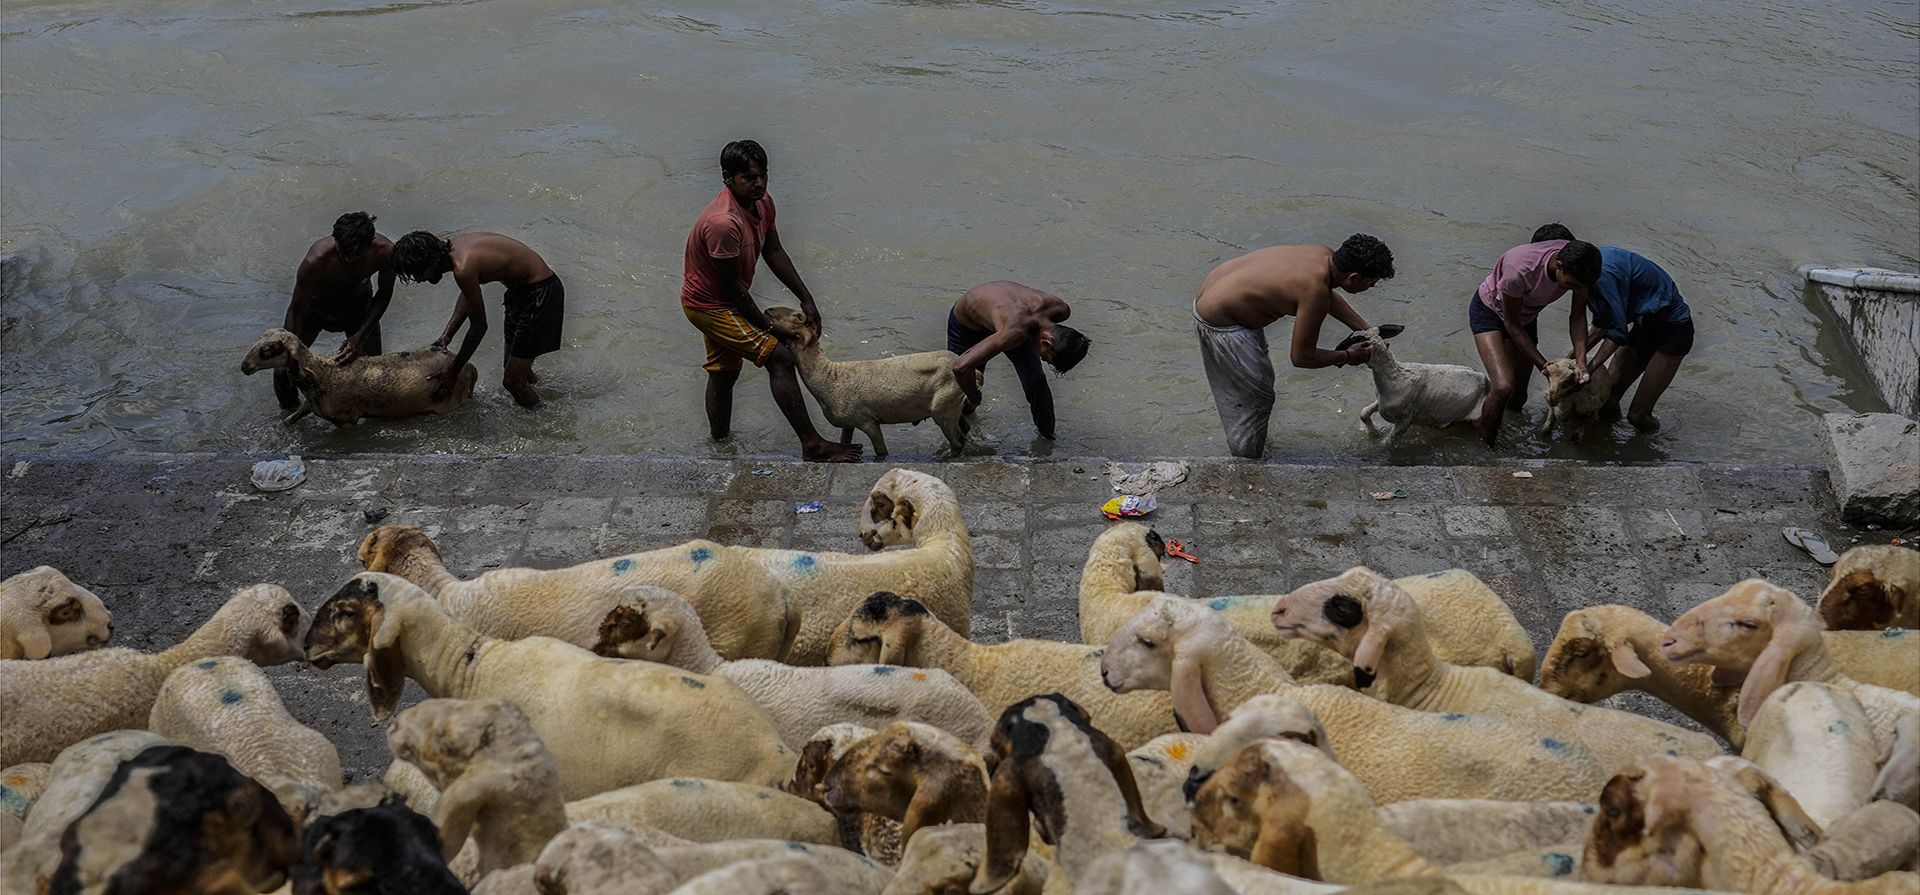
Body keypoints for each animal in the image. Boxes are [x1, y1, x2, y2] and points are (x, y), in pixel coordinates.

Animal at [239, 327, 477, 425]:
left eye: (271, 349)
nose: (244, 366)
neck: (322, 373)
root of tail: (469, 368)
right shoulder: (309, 403)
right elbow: (295, 416)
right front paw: (285, 423)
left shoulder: (345, 419)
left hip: (452, 401)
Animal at [763, 305, 975, 457]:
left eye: (797, 316)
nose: (767, 310)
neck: (829, 377)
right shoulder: (848, 422)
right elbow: (845, 441)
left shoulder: (867, 421)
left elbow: (881, 451)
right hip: (953, 405)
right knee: (965, 430)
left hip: (943, 407)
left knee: (957, 440)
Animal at [1353, 326, 1490, 445]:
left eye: (1354, 340)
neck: (1394, 376)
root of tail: (1485, 379)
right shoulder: (1382, 402)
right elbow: (1364, 412)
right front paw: (1374, 432)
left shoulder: (1404, 420)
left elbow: (1386, 443)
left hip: (1477, 418)